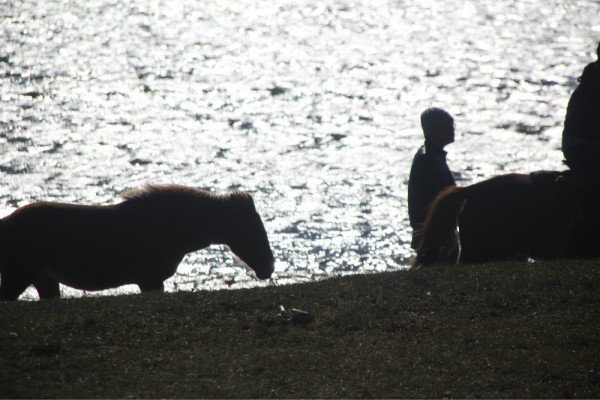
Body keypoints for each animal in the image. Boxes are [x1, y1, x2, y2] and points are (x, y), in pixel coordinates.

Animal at [0, 184, 274, 300]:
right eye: (249, 229)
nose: (269, 268)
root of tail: (5, 224)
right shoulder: (149, 281)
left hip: (43, 280)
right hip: (18, 277)